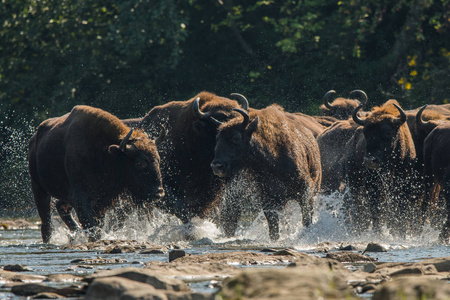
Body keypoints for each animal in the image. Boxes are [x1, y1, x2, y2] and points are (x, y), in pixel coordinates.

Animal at [27, 106, 163, 244]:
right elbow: (91, 226)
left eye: (158, 160)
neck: (106, 152)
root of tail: (34, 140)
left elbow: (97, 225)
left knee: (61, 207)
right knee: (46, 222)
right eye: (140, 163)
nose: (159, 193)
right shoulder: (80, 198)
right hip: (39, 188)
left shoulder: (101, 201)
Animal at [210, 106, 320, 241]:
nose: (216, 166)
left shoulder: (305, 192)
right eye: (217, 138)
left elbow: (306, 219)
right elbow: (273, 228)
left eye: (236, 137)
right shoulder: (269, 201)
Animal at [344, 99, 422, 236]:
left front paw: (399, 232)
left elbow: (398, 209)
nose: (370, 160)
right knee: (359, 208)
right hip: (355, 183)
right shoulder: (373, 186)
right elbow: (376, 209)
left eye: (388, 132)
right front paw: (378, 232)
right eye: (365, 133)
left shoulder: (403, 184)